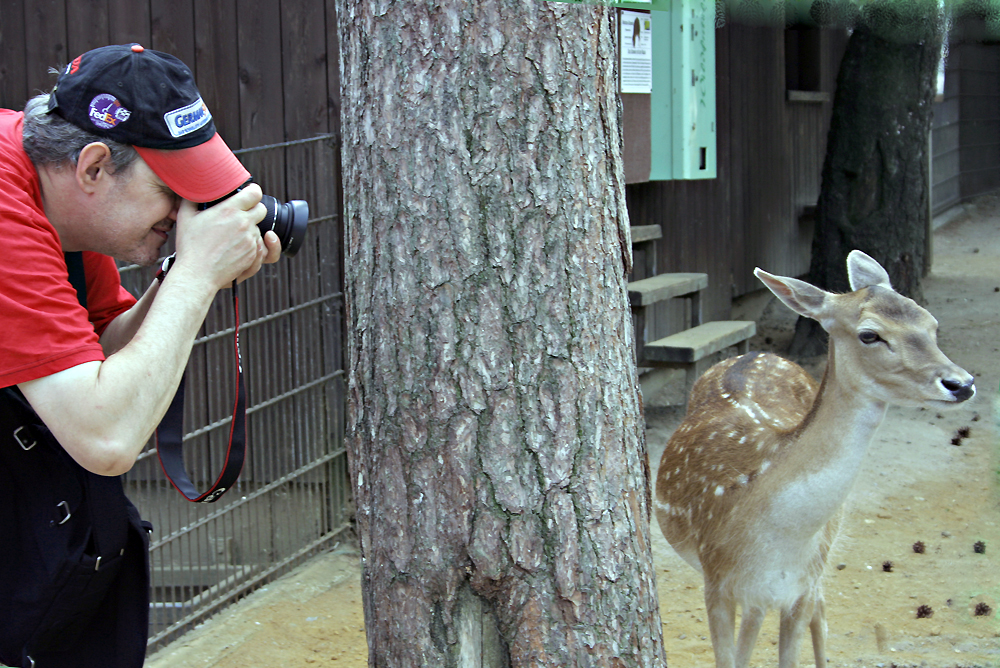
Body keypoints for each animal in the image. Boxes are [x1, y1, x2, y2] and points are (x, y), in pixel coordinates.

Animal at [652, 252, 972, 668]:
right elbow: (730, 656)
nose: (961, 383)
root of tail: (757, 350)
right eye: (870, 334)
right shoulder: (716, 580)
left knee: (820, 609)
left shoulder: (800, 589)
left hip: (822, 557)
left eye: (931, 324)